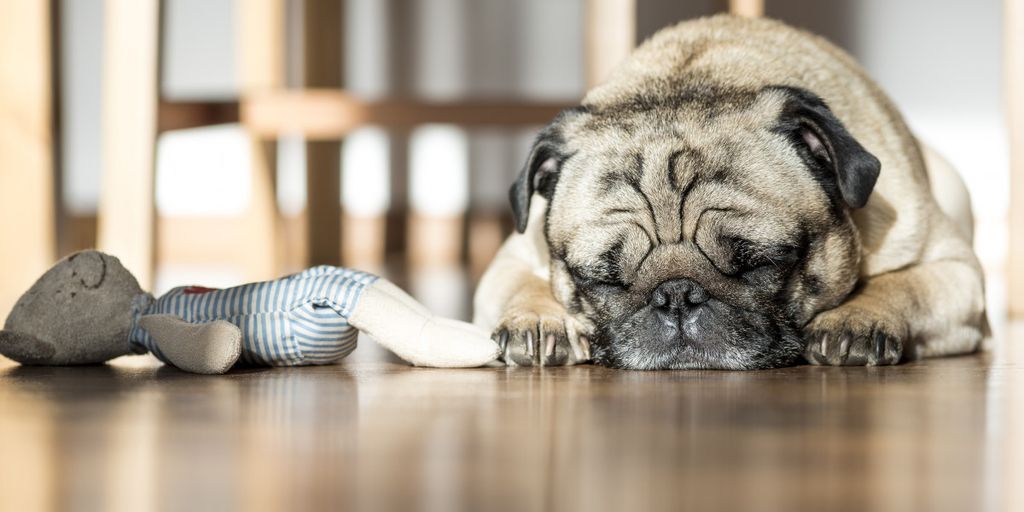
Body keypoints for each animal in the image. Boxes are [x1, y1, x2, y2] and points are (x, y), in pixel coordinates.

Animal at [471, 14, 983, 370]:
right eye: (602, 279)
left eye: (760, 263)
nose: (677, 295)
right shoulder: (513, 257)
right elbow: (523, 284)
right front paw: (540, 318)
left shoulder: (956, 270)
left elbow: (905, 284)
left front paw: (858, 316)